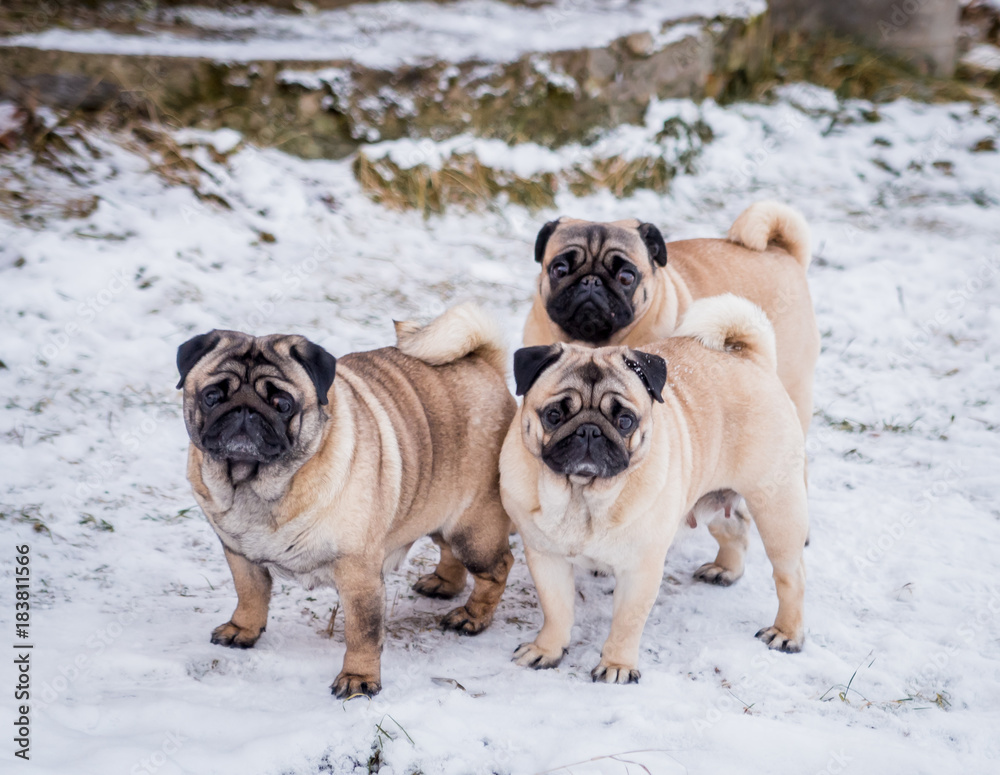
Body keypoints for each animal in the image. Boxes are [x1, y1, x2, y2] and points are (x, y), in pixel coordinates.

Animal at [177, 304, 516, 704]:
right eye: (212, 396)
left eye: (282, 404)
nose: (244, 412)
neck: (256, 488)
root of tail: (484, 363)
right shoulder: (239, 554)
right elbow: (249, 594)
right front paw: (242, 629)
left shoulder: (358, 575)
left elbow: (362, 632)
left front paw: (359, 679)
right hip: (437, 508)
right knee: (448, 549)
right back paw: (443, 584)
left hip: (473, 531)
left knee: (497, 568)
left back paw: (472, 617)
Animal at [504, 294, 808, 684]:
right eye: (554, 415)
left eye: (625, 420)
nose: (589, 430)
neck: (582, 496)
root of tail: (748, 357)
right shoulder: (547, 559)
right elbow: (556, 611)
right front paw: (547, 650)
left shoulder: (640, 570)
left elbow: (626, 623)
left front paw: (617, 666)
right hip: (712, 495)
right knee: (735, 527)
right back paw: (725, 570)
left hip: (777, 510)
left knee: (791, 576)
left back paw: (787, 633)